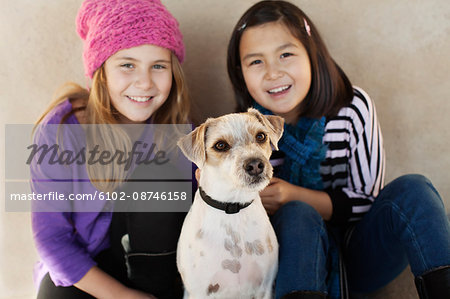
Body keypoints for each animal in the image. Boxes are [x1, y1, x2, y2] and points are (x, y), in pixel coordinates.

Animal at [178, 109, 284, 298]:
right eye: (220, 145)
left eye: (261, 136)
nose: (255, 165)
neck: (233, 207)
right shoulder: (200, 291)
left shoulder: (264, 287)